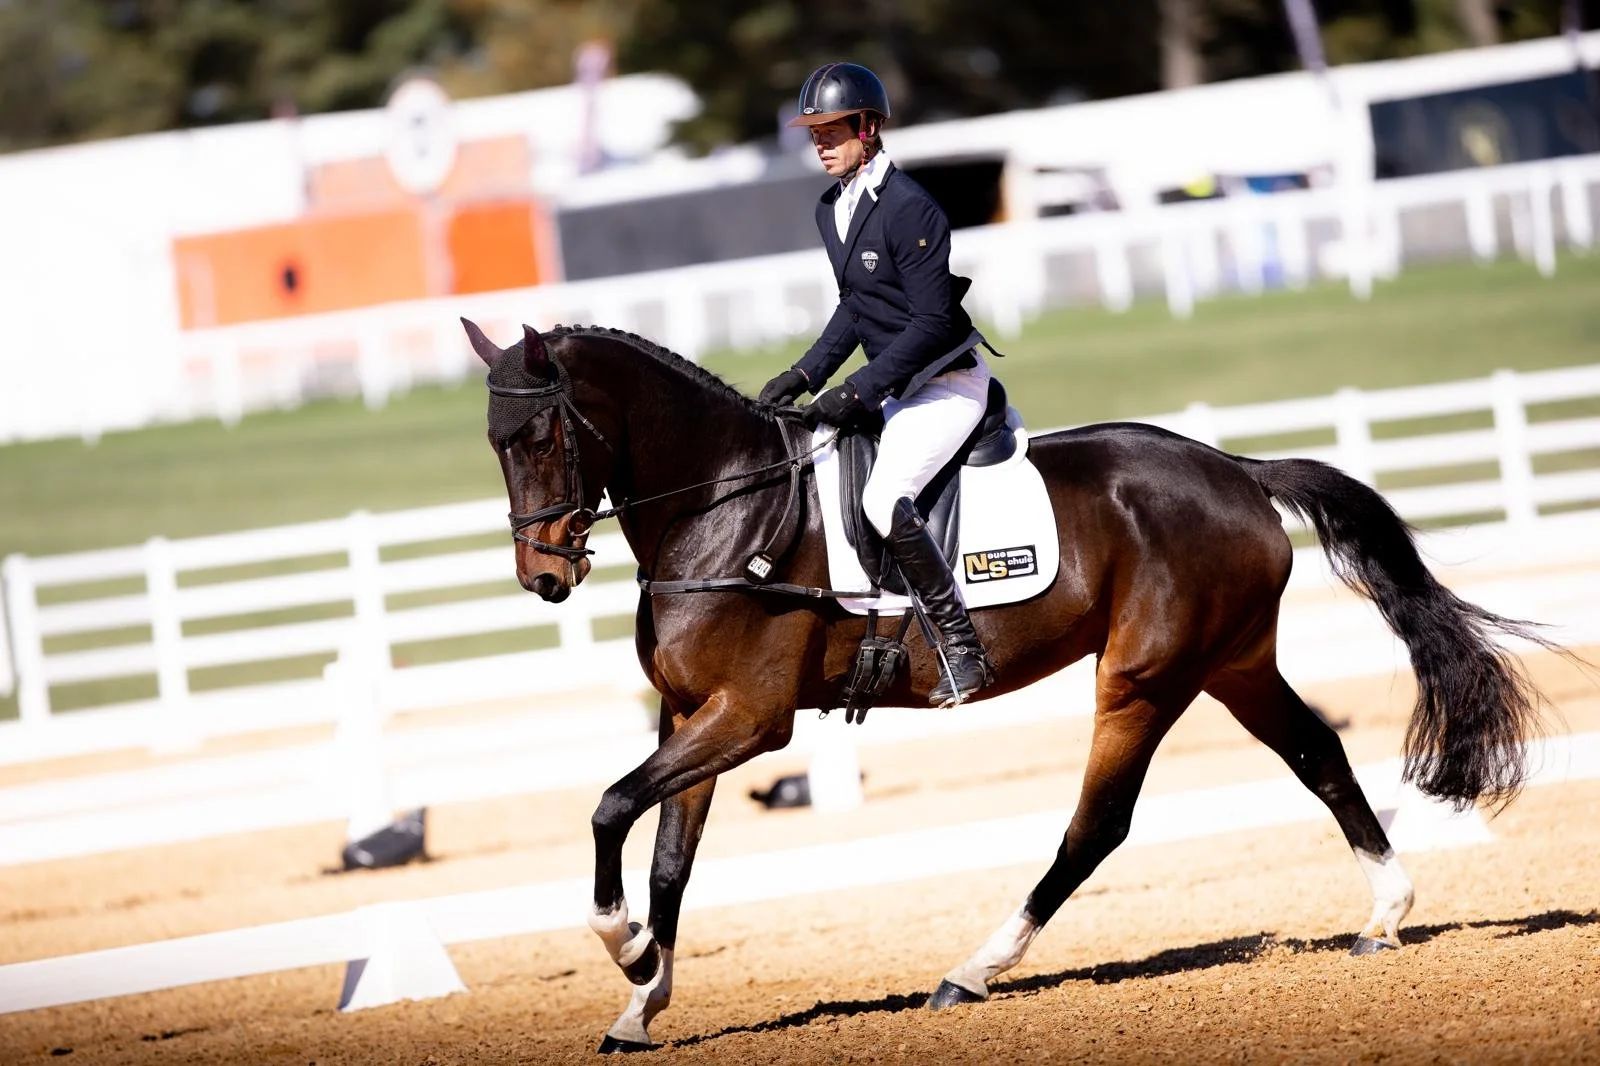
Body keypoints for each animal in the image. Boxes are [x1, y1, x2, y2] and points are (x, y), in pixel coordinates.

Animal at [461, 318, 1550, 1053]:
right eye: (494, 445)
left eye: (544, 437)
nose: (544, 579)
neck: (724, 511)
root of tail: (1234, 470)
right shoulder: (693, 714)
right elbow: (668, 862)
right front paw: (642, 1003)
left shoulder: (753, 718)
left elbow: (610, 808)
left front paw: (626, 950)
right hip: (1232, 661)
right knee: (1316, 753)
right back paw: (1385, 914)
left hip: (1145, 676)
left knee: (1097, 823)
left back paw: (972, 971)